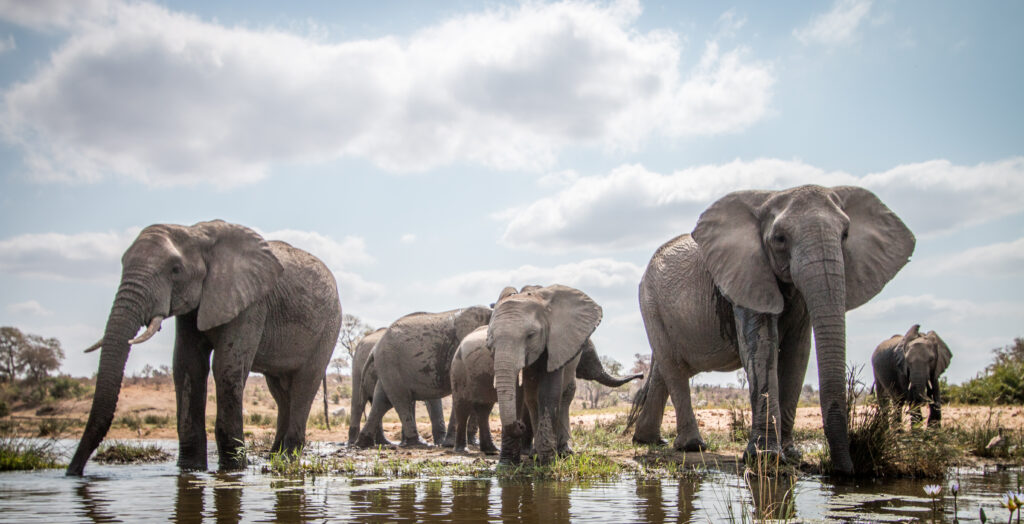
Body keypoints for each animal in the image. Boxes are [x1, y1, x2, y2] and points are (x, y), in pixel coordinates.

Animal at [66, 220, 342, 474]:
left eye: (176, 270)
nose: (73, 472)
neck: (195, 233)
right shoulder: (191, 308)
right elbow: (187, 366)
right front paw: (190, 469)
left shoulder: (251, 303)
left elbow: (226, 367)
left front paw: (233, 470)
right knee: (280, 391)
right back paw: (274, 457)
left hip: (328, 328)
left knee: (304, 385)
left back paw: (286, 460)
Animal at [354, 304, 493, 448]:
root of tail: (375, 348)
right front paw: (450, 445)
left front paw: (472, 443)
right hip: (389, 362)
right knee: (401, 400)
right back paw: (417, 443)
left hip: (387, 366)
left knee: (382, 400)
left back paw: (362, 444)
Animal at [485, 284, 602, 464]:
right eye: (490, 341)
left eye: (531, 335)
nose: (520, 425)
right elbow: (524, 394)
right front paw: (507, 463)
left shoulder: (557, 342)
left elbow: (548, 393)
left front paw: (547, 461)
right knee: (532, 398)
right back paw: (534, 453)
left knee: (565, 396)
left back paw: (564, 452)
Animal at [626, 185, 917, 474]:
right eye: (779, 239)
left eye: (846, 234)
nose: (843, 471)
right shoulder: (746, 274)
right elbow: (761, 347)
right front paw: (765, 458)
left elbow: (797, 353)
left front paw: (791, 454)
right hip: (651, 304)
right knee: (673, 367)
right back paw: (692, 446)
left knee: (664, 369)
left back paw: (650, 440)